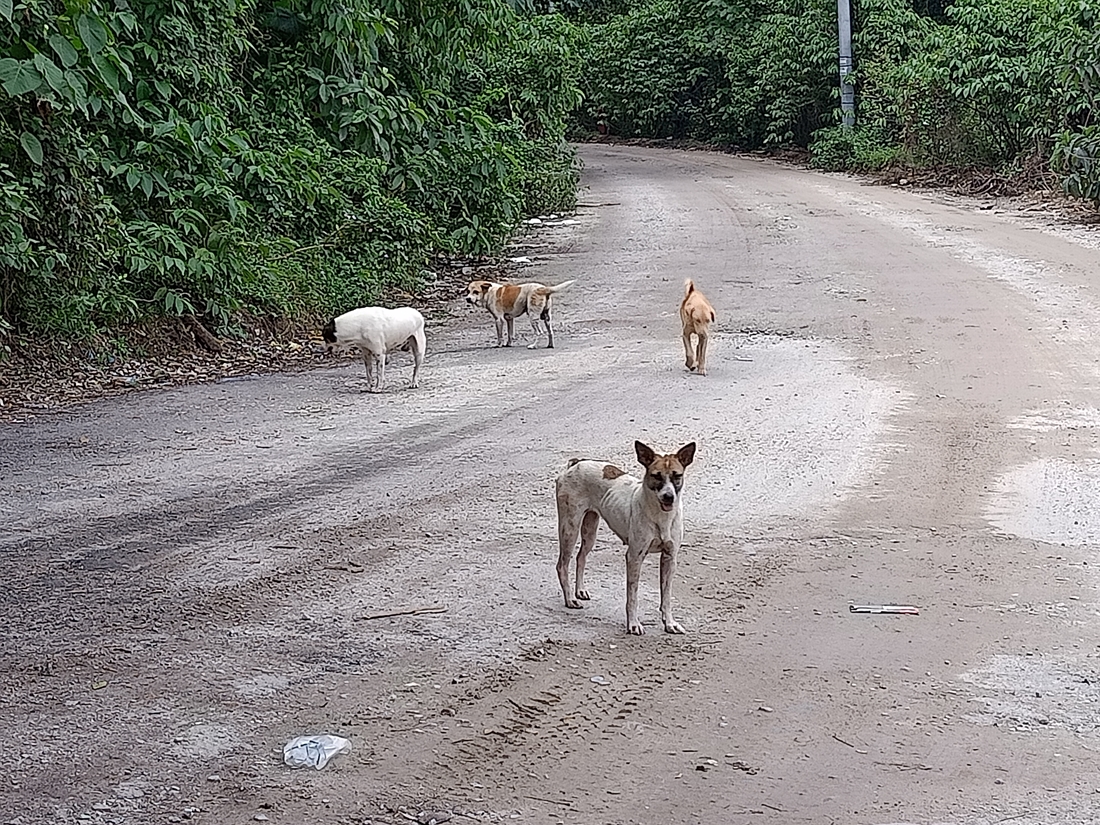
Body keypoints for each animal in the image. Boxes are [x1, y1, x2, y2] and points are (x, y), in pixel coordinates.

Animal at [554, 442, 699, 638]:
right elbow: (633, 596)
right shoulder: (634, 557)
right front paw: (633, 624)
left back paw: (580, 591)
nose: (668, 497)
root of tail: (576, 463)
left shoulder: (670, 558)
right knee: (562, 565)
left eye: (677, 476)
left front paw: (669, 623)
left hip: (590, 530)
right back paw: (569, 599)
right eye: (656, 476)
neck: (660, 517)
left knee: (580, 557)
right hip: (570, 528)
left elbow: (666, 597)